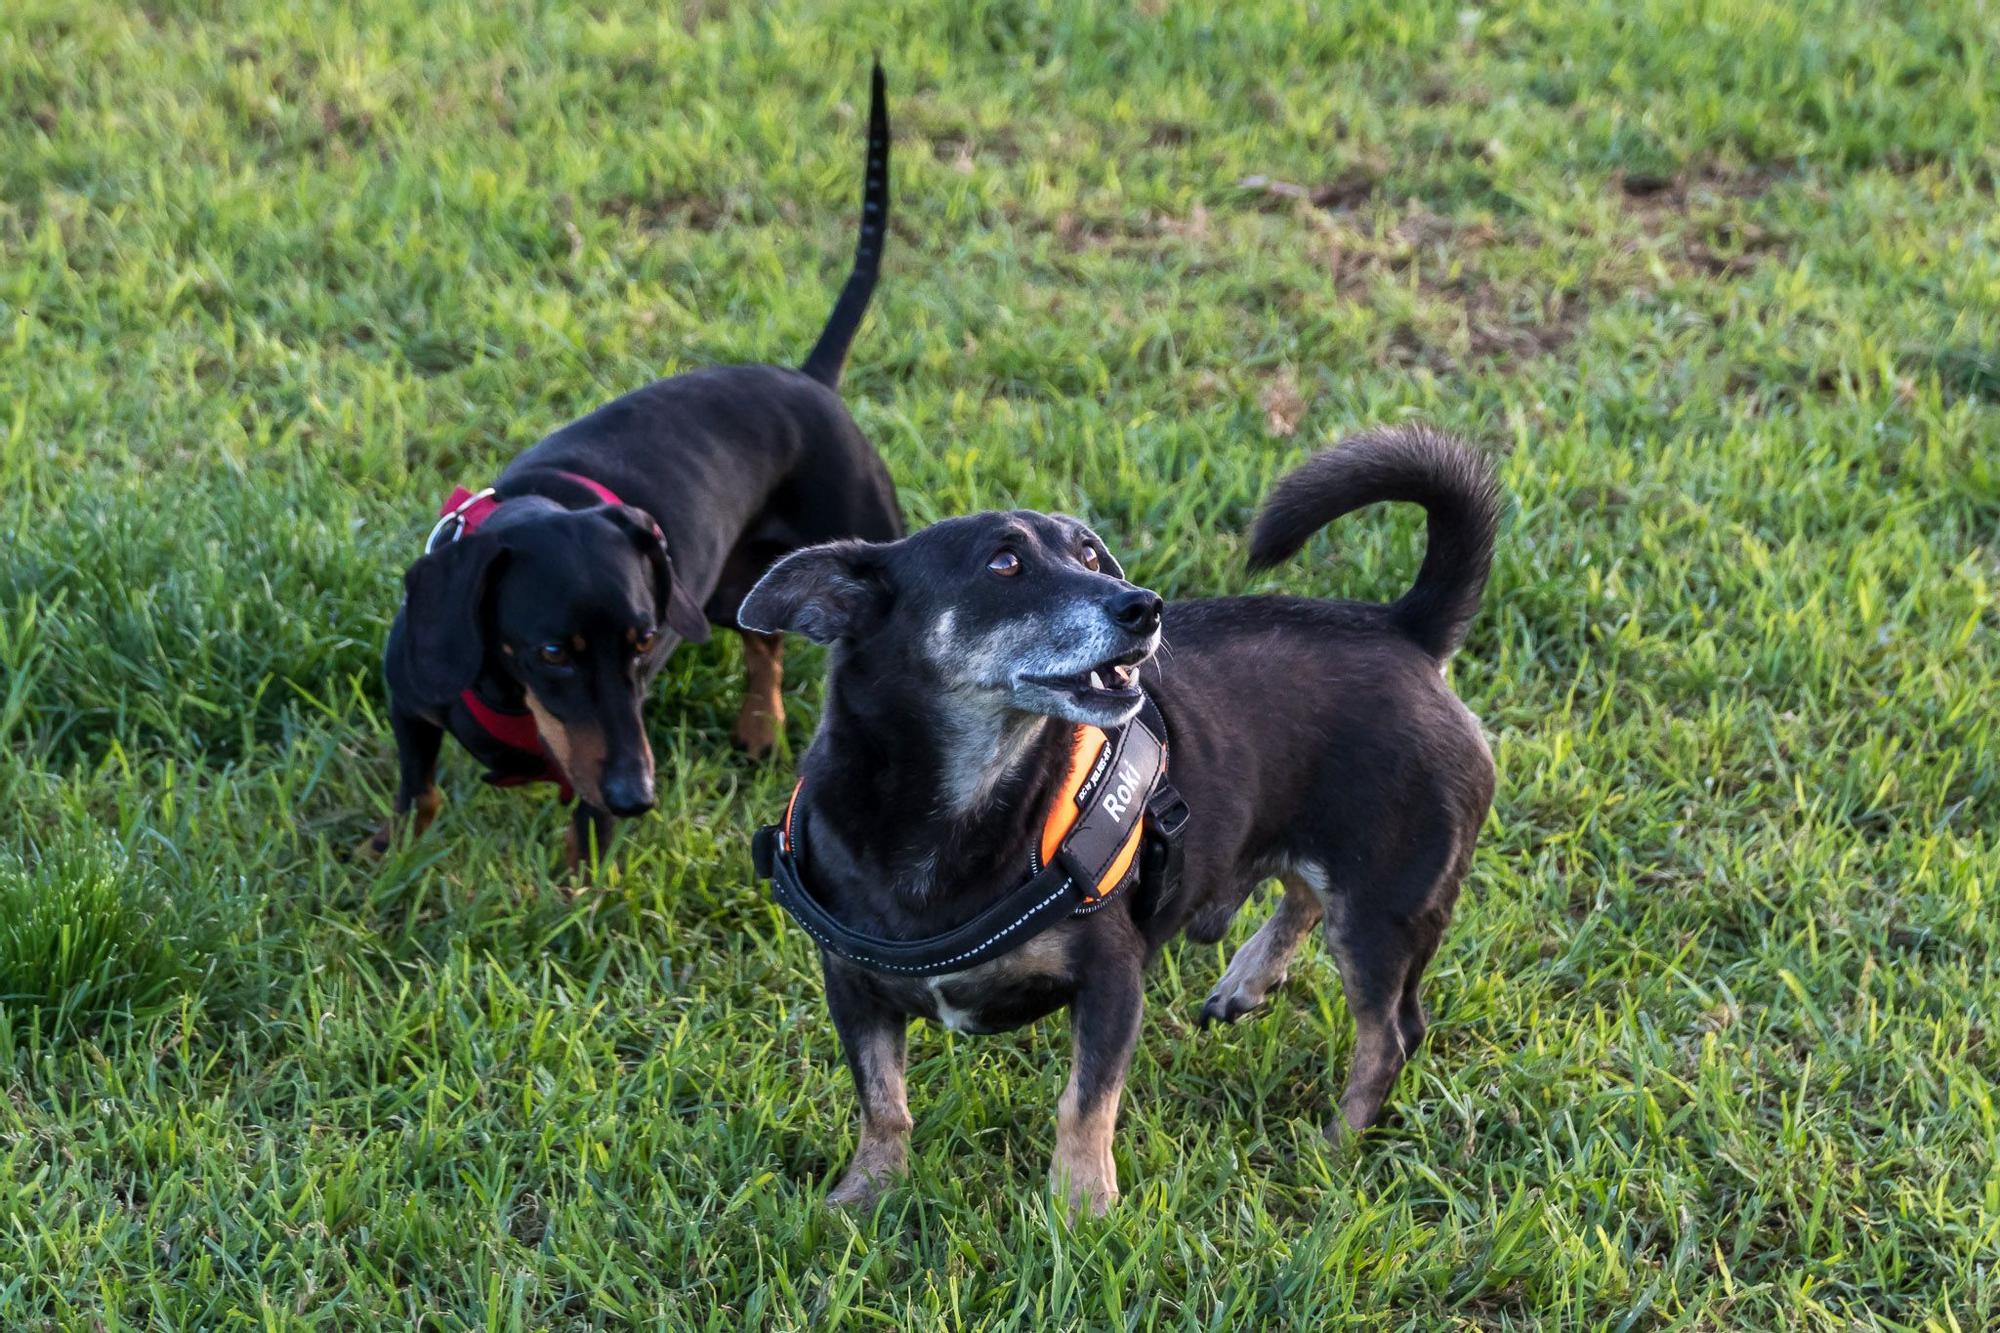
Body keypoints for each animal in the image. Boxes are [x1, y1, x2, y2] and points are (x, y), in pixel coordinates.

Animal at [372, 67, 904, 860]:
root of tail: (810, 379)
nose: (639, 798)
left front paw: (576, 880)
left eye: (645, 640)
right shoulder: (409, 697)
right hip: (728, 591)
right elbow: (419, 785)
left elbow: (584, 818)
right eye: (553, 651)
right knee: (763, 640)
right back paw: (759, 729)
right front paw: (392, 850)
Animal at [744, 422, 1496, 1200]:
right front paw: (868, 1192)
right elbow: (881, 1098)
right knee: (1302, 892)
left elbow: (1084, 1103)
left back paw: (1334, 1147)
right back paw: (1247, 981)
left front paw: (1081, 1206)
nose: (1145, 604)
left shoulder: (1111, 978)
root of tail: (1407, 631)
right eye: (1004, 563)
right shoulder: (852, 986)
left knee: (1389, 1036)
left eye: (1089, 555)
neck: (960, 801)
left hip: (1383, 910)